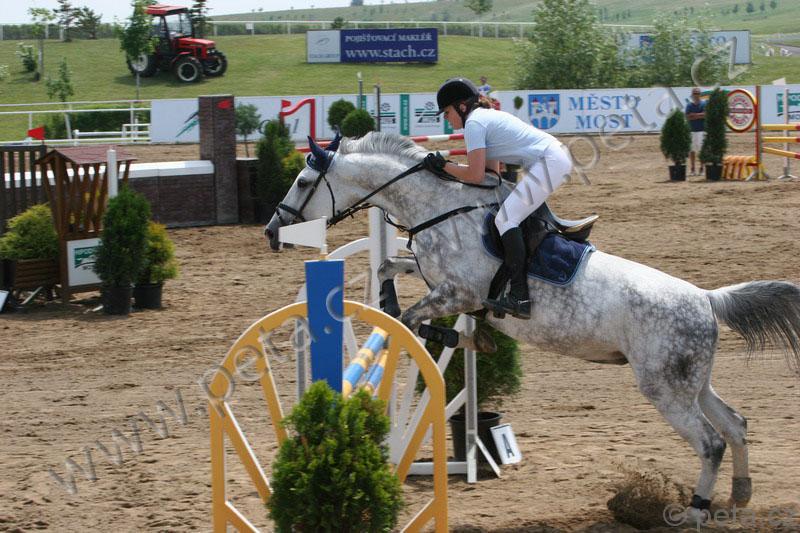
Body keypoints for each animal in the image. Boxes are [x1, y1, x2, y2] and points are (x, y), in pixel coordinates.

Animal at [265, 132, 800, 521]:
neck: (438, 208)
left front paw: (456, 334)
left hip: (665, 386)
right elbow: (387, 267)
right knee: (735, 425)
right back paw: (739, 497)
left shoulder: (460, 292)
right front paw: (405, 305)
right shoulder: (438, 279)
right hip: (693, 381)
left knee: (711, 442)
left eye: (302, 181)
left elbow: (416, 319)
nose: (272, 231)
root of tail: (707, 299)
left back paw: (694, 511)